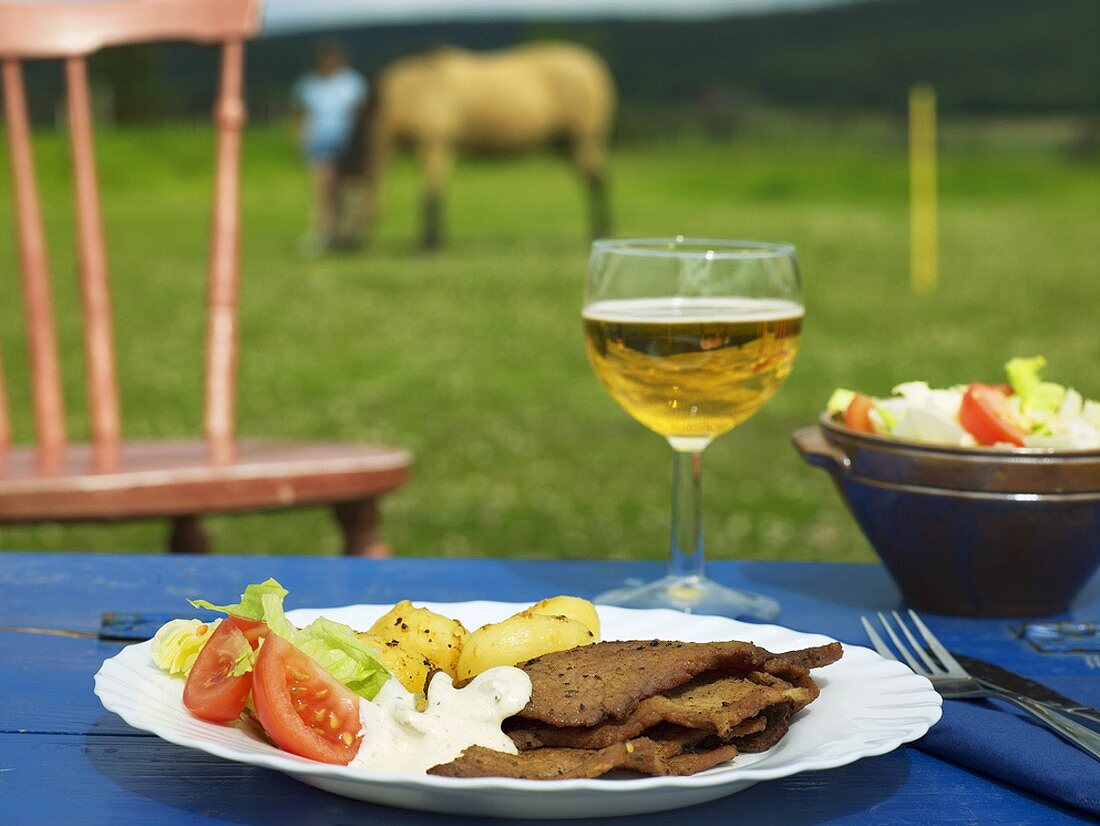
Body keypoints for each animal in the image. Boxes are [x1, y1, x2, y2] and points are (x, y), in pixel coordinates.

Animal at [356, 43, 616, 248]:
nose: (347, 245)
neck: (408, 94)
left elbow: (430, 195)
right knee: (590, 178)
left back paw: (601, 231)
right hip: (565, 143)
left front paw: (429, 244)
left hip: (584, 138)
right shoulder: (437, 148)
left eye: (347, 204)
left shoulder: (434, 144)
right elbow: (437, 192)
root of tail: (592, 65)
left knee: (596, 180)